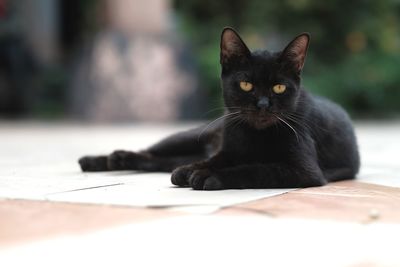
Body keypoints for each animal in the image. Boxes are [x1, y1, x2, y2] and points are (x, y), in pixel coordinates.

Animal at [79, 27, 360, 191]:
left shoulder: (304, 171)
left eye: (279, 87)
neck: (254, 136)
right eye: (246, 84)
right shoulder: (229, 148)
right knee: (152, 152)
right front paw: (193, 170)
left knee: (160, 161)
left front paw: (207, 177)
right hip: (188, 136)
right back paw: (103, 159)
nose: (262, 104)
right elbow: (215, 160)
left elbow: (258, 169)